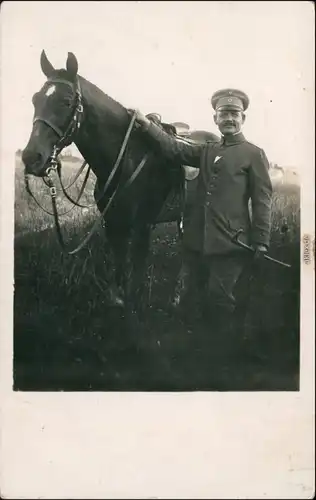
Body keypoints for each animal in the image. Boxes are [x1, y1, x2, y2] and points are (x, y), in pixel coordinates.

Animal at [22, 50, 218, 324]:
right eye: (35, 99)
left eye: (66, 101)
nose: (31, 158)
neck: (126, 157)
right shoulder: (113, 222)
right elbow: (119, 267)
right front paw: (118, 303)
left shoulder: (142, 225)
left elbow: (136, 270)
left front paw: (134, 309)